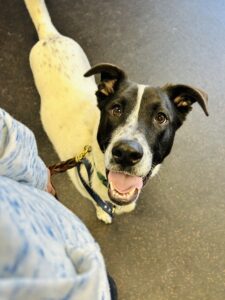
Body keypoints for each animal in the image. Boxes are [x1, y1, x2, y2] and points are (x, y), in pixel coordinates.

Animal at [23, 0, 208, 223]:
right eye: (116, 109)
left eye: (161, 117)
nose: (127, 153)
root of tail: (50, 35)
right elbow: (99, 203)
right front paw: (103, 212)